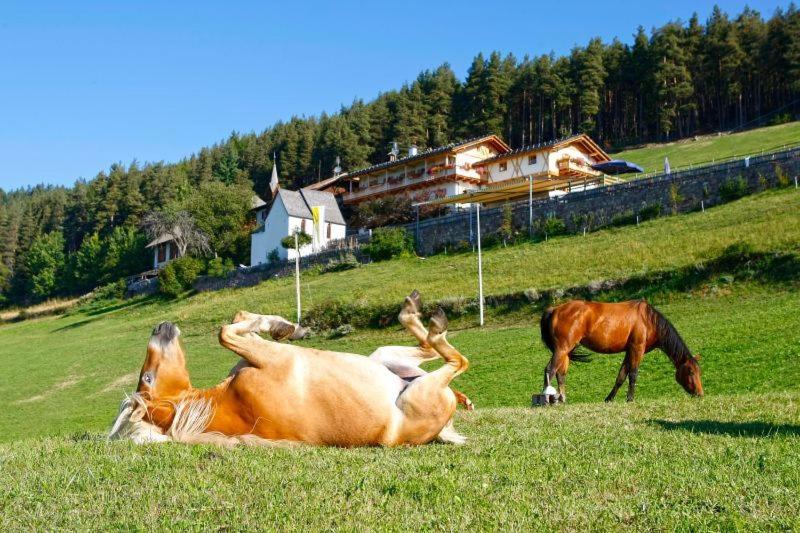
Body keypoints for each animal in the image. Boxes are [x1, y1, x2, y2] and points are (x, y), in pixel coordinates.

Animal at [106, 288, 468, 446]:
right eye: (147, 378)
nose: (159, 328)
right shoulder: (272, 358)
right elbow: (226, 331)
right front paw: (282, 326)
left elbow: (238, 320)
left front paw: (284, 325)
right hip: (421, 391)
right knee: (456, 359)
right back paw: (432, 324)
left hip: (382, 356)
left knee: (425, 347)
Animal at [540, 300, 704, 404]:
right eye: (690, 371)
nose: (700, 394)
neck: (648, 320)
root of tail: (554, 309)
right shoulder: (637, 349)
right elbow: (633, 374)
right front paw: (630, 399)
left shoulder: (629, 351)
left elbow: (621, 376)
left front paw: (609, 399)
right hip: (562, 349)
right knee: (550, 370)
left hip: (565, 351)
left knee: (560, 374)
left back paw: (562, 399)